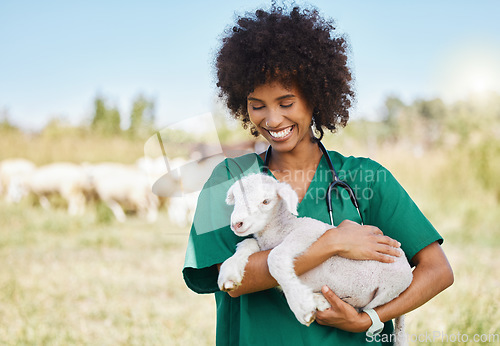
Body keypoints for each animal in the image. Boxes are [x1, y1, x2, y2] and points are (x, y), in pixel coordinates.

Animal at [217, 174, 412, 344]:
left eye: (266, 201)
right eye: (236, 199)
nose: (237, 223)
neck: (279, 230)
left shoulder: (311, 230)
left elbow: (275, 256)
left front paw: (301, 306)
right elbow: (247, 243)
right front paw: (229, 274)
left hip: (391, 288)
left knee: (365, 309)